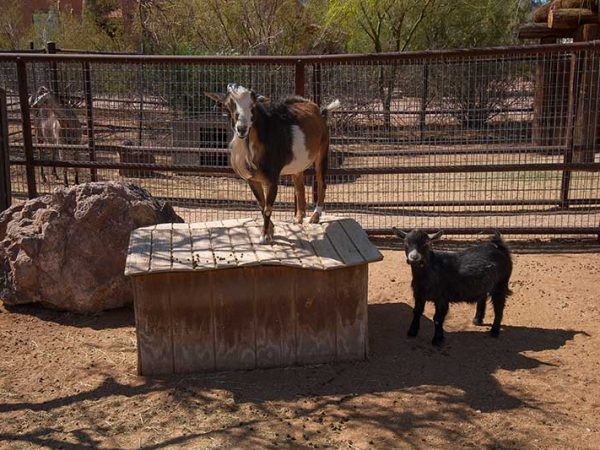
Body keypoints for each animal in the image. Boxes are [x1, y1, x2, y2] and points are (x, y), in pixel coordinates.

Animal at [206, 83, 340, 243]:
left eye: (253, 105)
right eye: (229, 104)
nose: (242, 129)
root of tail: (319, 111)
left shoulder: (272, 178)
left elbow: (268, 208)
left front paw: (264, 236)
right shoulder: (252, 180)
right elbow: (261, 204)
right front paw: (270, 230)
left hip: (322, 151)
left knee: (321, 183)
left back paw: (315, 216)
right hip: (297, 164)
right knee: (299, 186)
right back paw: (298, 217)